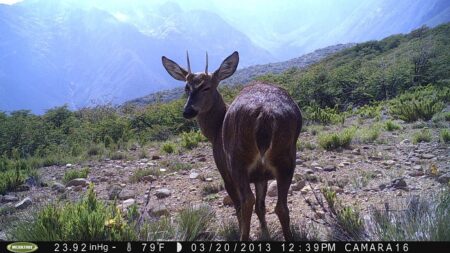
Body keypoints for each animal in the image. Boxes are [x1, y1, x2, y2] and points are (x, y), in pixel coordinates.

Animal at [162, 52, 302, 241]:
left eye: (207, 87)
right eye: (186, 88)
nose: (188, 111)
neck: (215, 130)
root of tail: (265, 114)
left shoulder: (224, 170)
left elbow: (239, 207)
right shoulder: (261, 176)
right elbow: (261, 207)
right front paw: (265, 233)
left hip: (237, 160)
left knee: (246, 202)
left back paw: (243, 237)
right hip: (286, 158)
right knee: (281, 207)